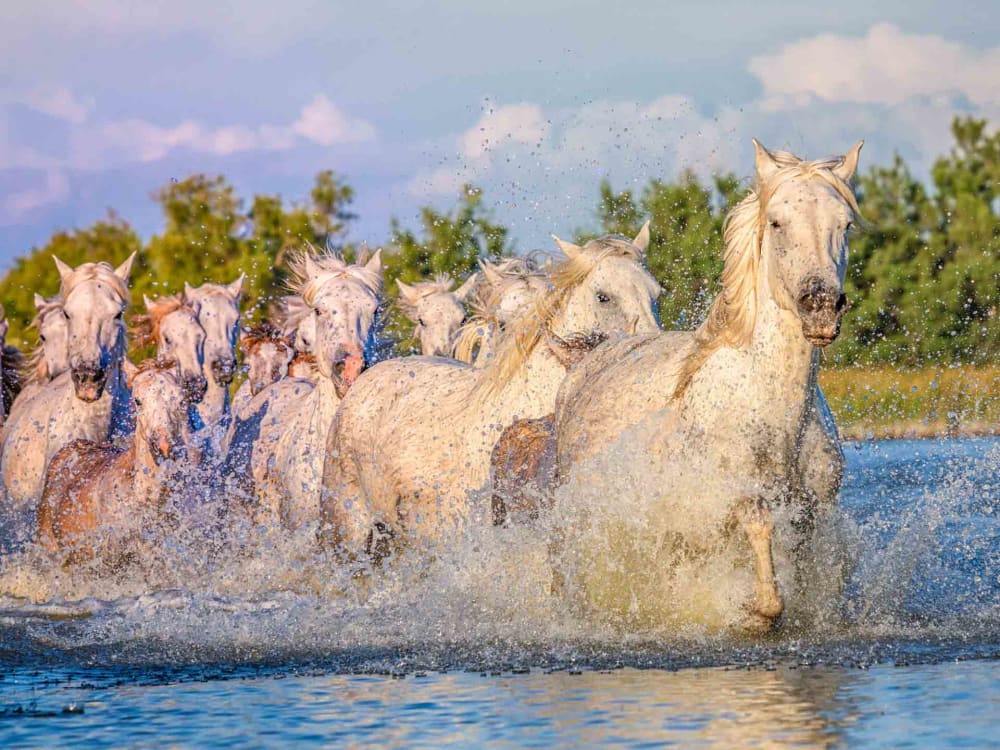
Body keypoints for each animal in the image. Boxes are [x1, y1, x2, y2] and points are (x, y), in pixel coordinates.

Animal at [548, 140, 860, 636]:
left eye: (844, 223)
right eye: (777, 222)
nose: (822, 307)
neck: (774, 413)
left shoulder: (814, 513)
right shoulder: (728, 505)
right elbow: (762, 563)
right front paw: (745, 611)